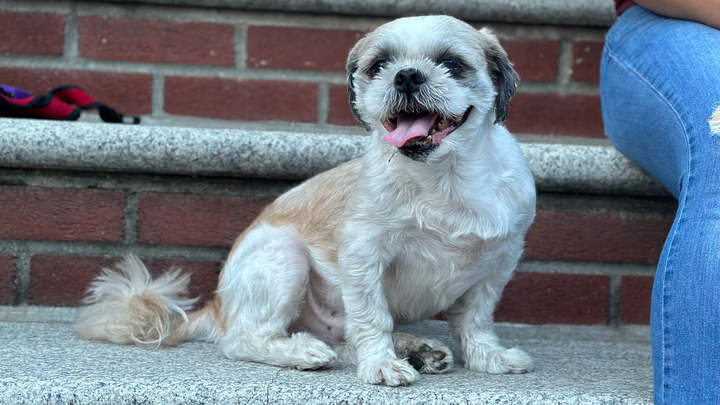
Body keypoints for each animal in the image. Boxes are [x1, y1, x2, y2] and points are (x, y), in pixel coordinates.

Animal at [75, 15, 536, 387]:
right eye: (379, 66)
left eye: (452, 63)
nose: (406, 76)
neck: (443, 179)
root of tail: (219, 307)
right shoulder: (363, 254)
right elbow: (372, 316)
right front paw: (381, 365)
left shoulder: (500, 259)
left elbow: (475, 318)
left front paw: (488, 358)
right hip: (283, 255)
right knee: (244, 341)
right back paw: (306, 351)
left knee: (344, 338)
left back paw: (416, 350)